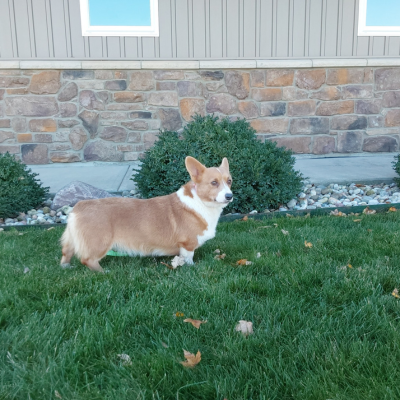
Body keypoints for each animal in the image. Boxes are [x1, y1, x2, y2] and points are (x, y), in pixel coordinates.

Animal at [61, 156, 233, 272]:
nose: (229, 196)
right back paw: (104, 272)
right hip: (100, 243)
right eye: (214, 183)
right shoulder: (187, 244)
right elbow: (188, 257)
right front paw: (191, 267)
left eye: (229, 181)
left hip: (71, 240)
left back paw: (67, 267)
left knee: (66, 253)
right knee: (87, 259)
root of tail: (77, 208)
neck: (201, 203)